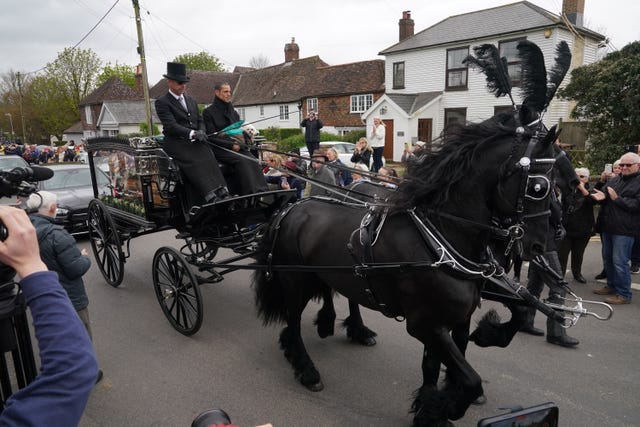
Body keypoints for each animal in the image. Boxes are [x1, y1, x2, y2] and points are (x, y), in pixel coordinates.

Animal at [252, 109, 556, 424]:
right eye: (538, 186)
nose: (540, 246)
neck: (438, 241)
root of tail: (290, 209)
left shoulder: (454, 317)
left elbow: (438, 365)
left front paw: (432, 404)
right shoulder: (425, 325)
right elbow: (470, 379)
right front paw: (447, 407)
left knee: (338, 295)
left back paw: (345, 328)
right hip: (294, 280)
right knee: (294, 319)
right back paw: (305, 366)